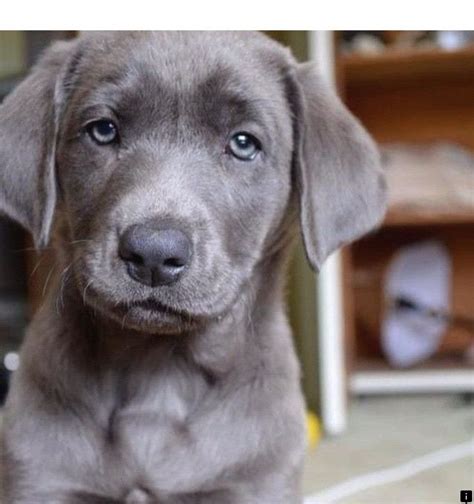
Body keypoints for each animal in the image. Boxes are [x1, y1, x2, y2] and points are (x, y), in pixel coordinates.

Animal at [0, 32, 386, 504]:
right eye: (103, 130)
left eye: (243, 143)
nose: (153, 253)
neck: (159, 375)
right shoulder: (42, 479)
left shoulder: (254, 482)